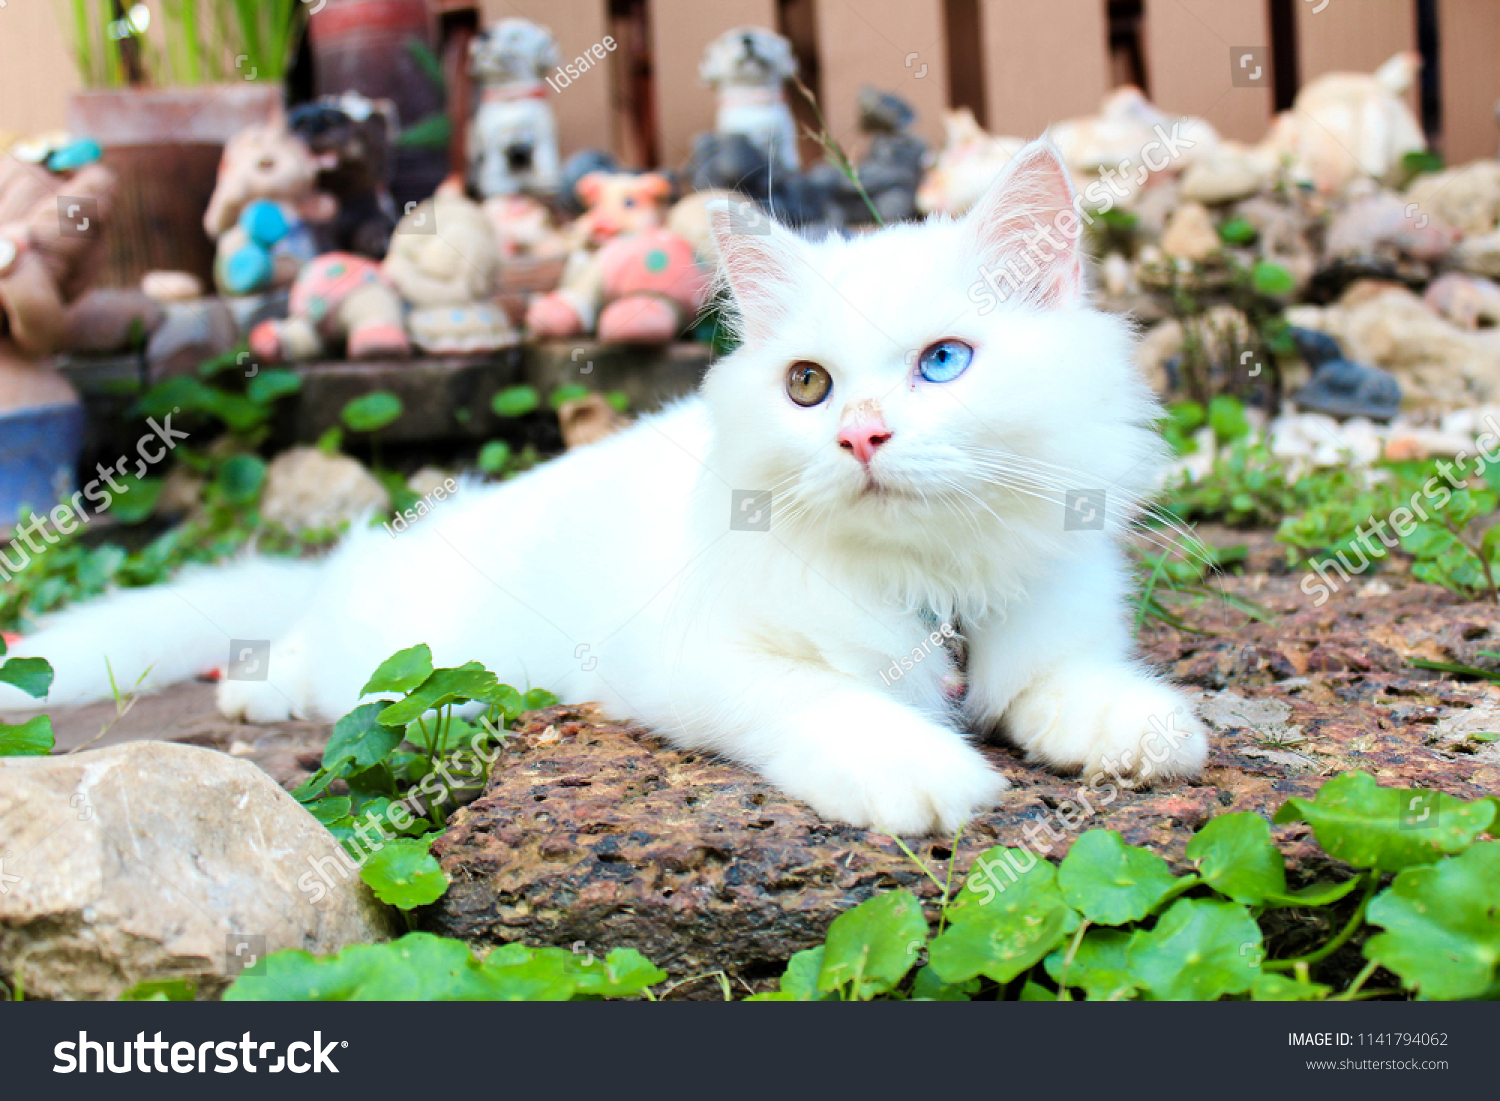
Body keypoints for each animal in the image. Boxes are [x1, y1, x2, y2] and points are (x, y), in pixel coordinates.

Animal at [0, 144, 1206, 834]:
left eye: (943, 363)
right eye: (808, 386)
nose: (860, 436)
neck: (930, 588)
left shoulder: (1049, 619)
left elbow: (1068, 681)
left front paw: (1143, 726)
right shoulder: (690, 660)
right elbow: (822, 696)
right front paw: (918, 769)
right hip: (389, 645)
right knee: (310, 647)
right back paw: (259, 685)